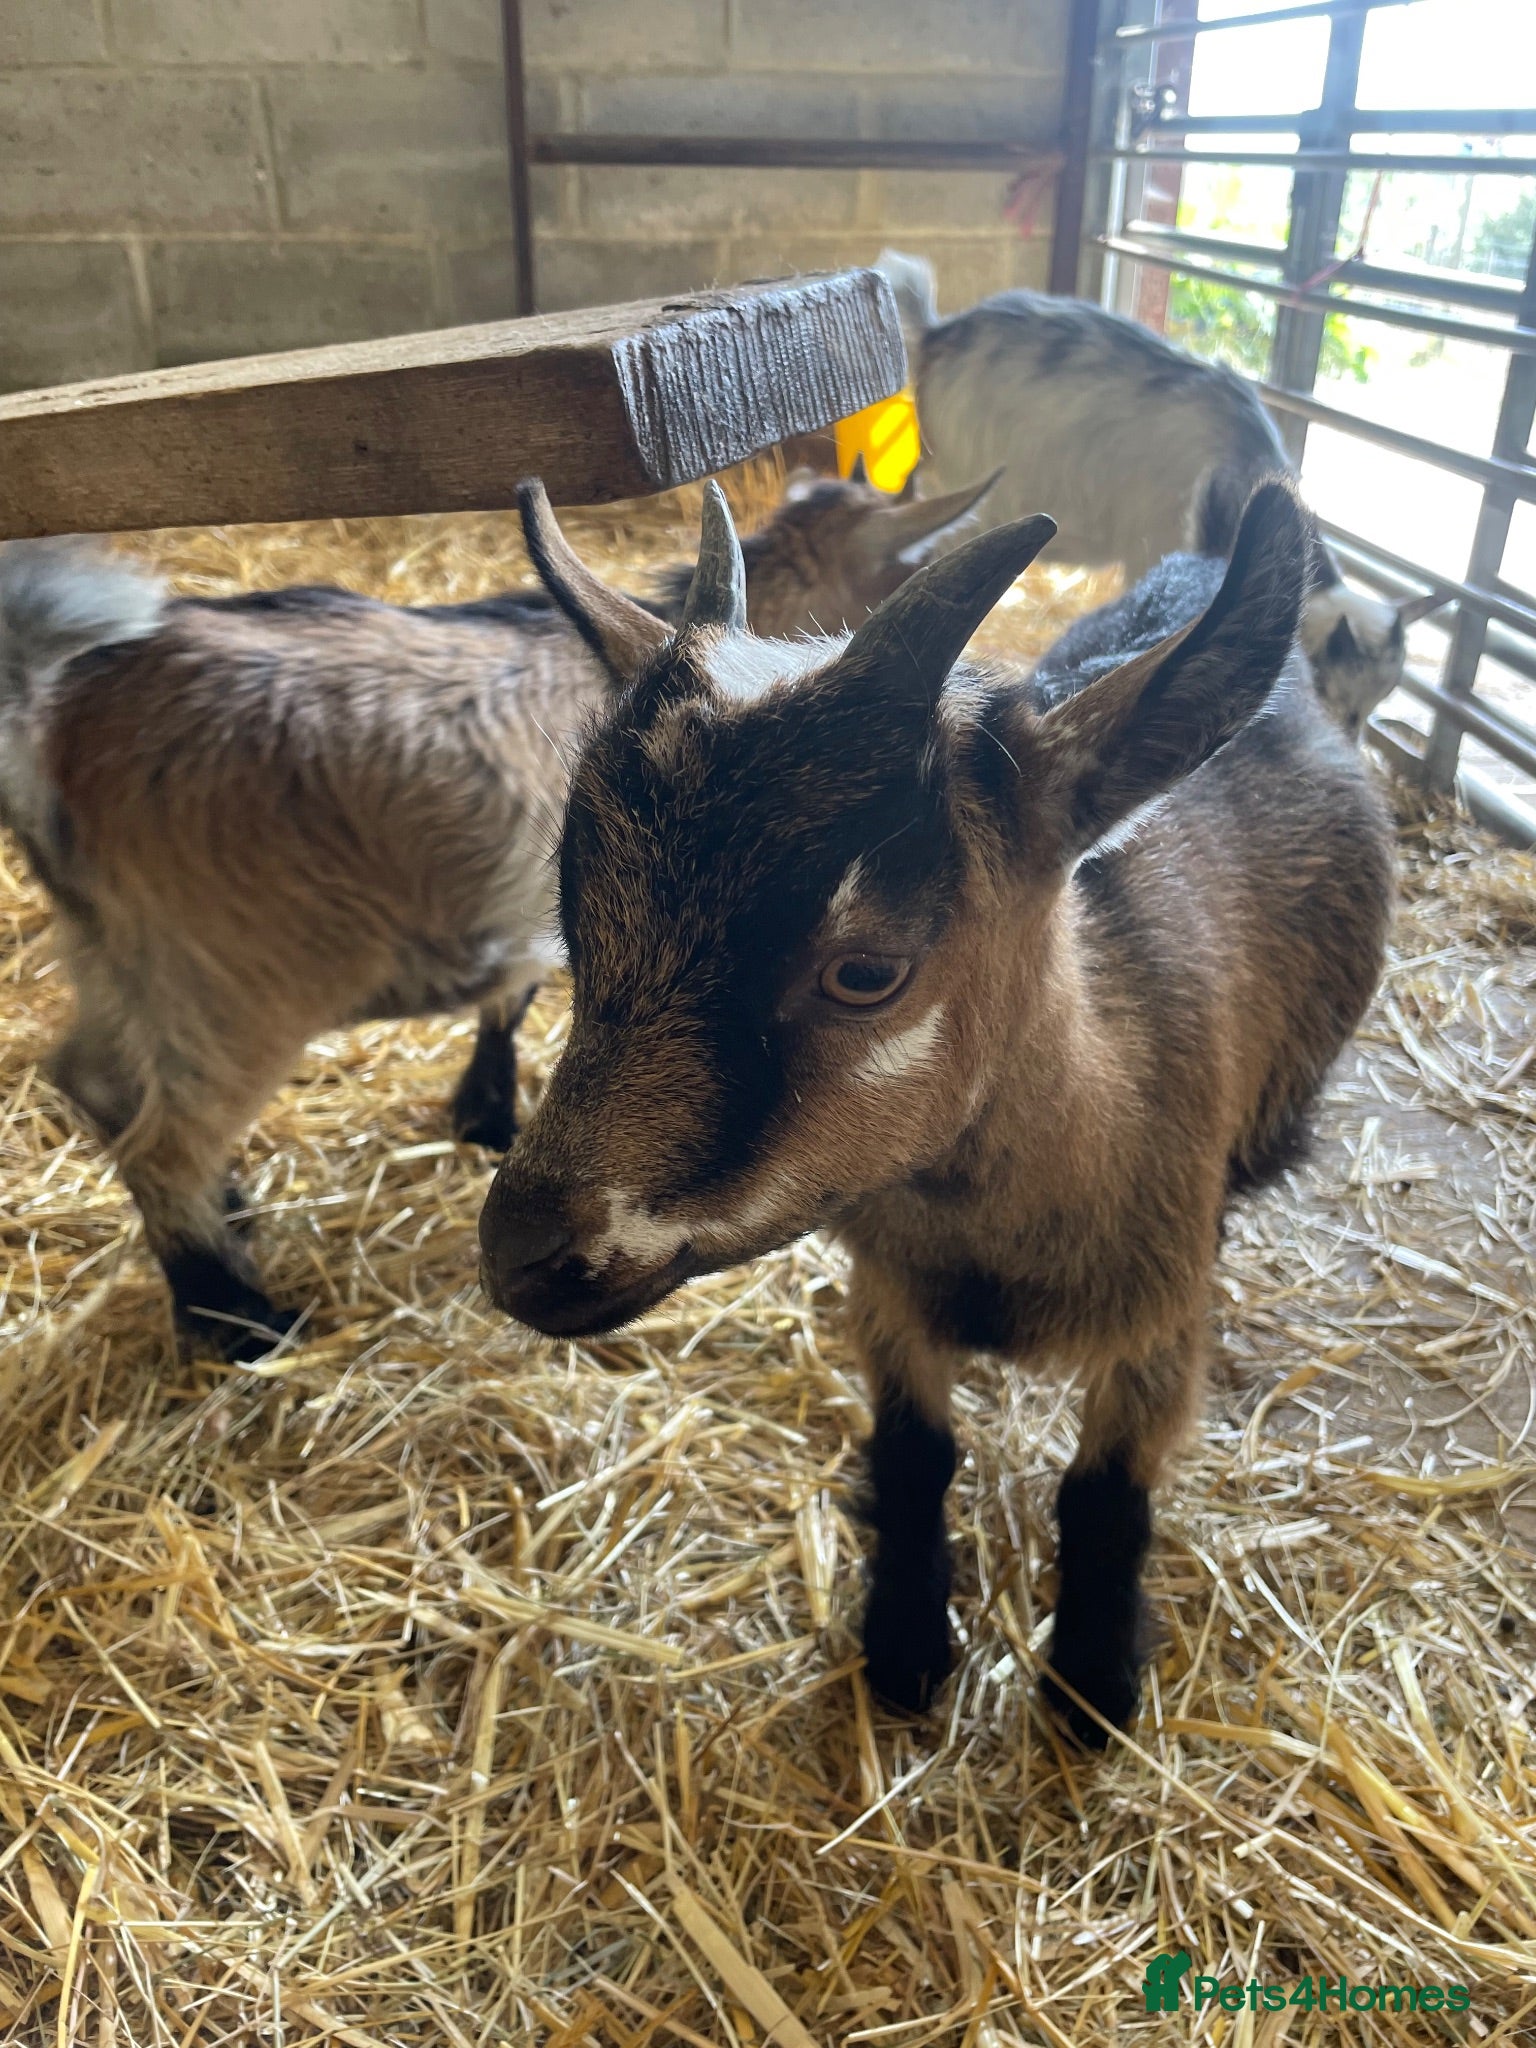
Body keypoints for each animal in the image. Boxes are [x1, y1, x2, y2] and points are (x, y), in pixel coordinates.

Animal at [0, 472, 994, 1362]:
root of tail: (53, 721)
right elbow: (517, 993)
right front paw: (490, 1114)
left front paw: (483, 1113)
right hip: (236, 972)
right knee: (163, 1141)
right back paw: (241, 1321)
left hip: (121, 946)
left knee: (94, 1079)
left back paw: (231, 1218)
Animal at [479, 473, 1394, 1743]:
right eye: (579, 912)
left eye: (867, 971)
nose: (520, 1251)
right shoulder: (889, 1288)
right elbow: (914, 1453)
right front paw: (906, 1645)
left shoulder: (1164, 1319)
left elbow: (1104, 1490)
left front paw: (1092, 1684)